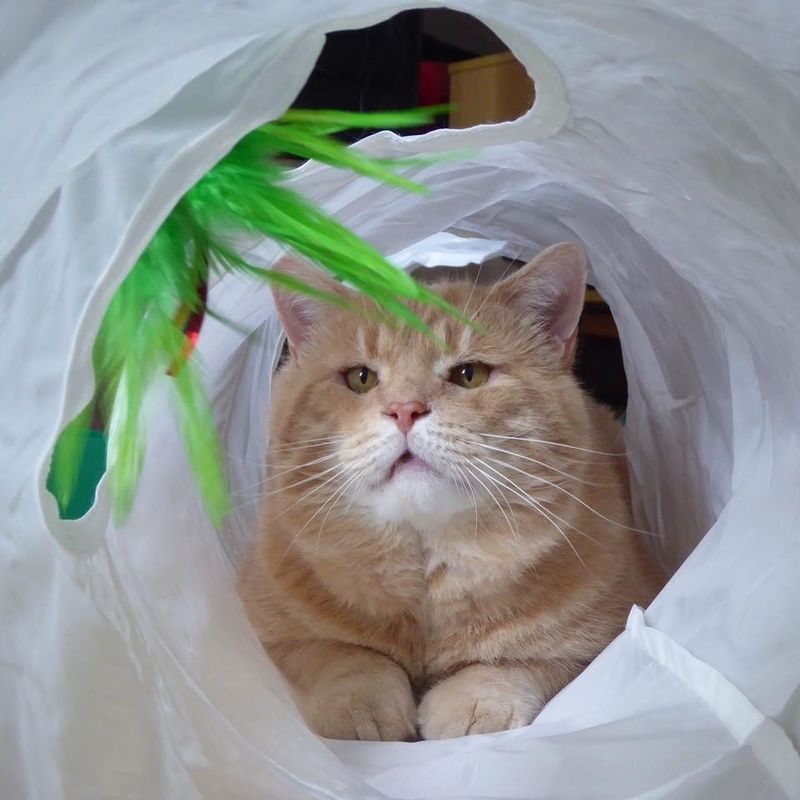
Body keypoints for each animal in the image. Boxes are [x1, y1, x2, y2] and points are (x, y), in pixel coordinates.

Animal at [238, 241, 664, 740]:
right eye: (361, 378)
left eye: (468, 375)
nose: (405, 409)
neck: (425, 576)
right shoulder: (270, 626)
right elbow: (341, 655)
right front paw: (361, 703)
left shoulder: (604, 636)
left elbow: (514, 662)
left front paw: (473, 703)